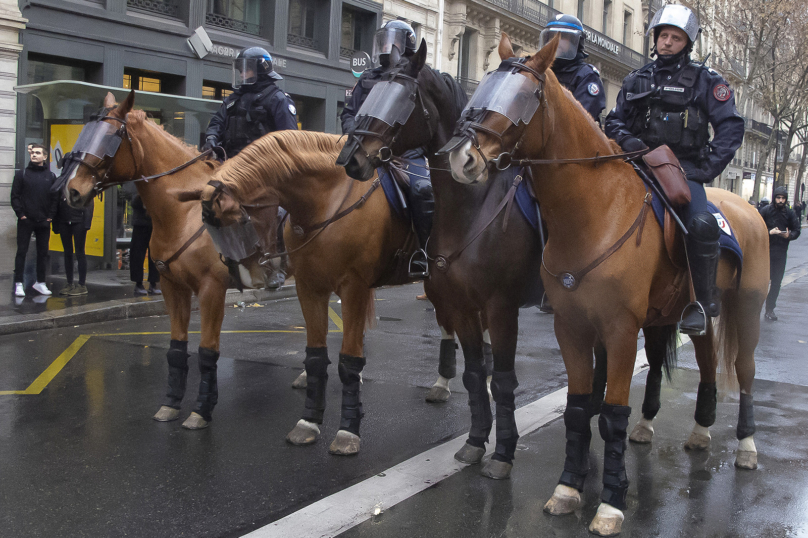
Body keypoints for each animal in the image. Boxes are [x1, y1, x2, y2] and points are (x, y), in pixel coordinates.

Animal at [60, 91, 274, 428]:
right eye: (86, 132)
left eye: (111, 137)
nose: (71, 191)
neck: (183, 212)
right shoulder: (173, 286)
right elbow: (176, 348)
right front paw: (171, 403)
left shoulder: (212, 290)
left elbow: (207, 351)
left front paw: (201, 410)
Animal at [196, 129, 420, 452]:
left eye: (238, 222)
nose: (250, 278)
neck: (327, 202)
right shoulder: (309, 288)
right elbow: (315, 357)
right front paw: (308, 423)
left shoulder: (354, 287)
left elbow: (349, 359)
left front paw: (347, 431)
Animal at [448, 35, 772, 532]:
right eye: (484, 85)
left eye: (524, 97)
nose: (462, 159)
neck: (594, 212)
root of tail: (748, 206)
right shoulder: (572, 327)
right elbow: (579, 406)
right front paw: (568, 488)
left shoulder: (620, 330)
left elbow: (614, 412)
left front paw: (610, 502)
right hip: (689, 312)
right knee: (706, 361)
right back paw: (699, 429)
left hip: (747, 309)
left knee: (745, 369)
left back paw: (748, 446)